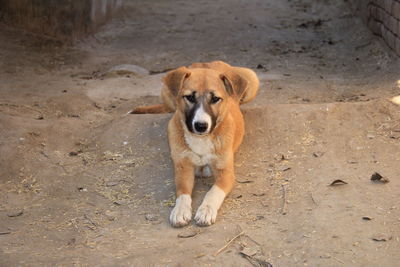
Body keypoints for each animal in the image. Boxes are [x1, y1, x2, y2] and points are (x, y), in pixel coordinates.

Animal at [132, 61, 260, 228]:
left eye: (215, 99)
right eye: (189, 97)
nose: (200, 126)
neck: (200, 139)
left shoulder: (225, 173)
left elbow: (213, 192)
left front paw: (206, 210)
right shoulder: (182, 168)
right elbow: (183, 192)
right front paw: (180, 210)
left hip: (252, 78)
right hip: (165, 91)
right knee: (169, 108)